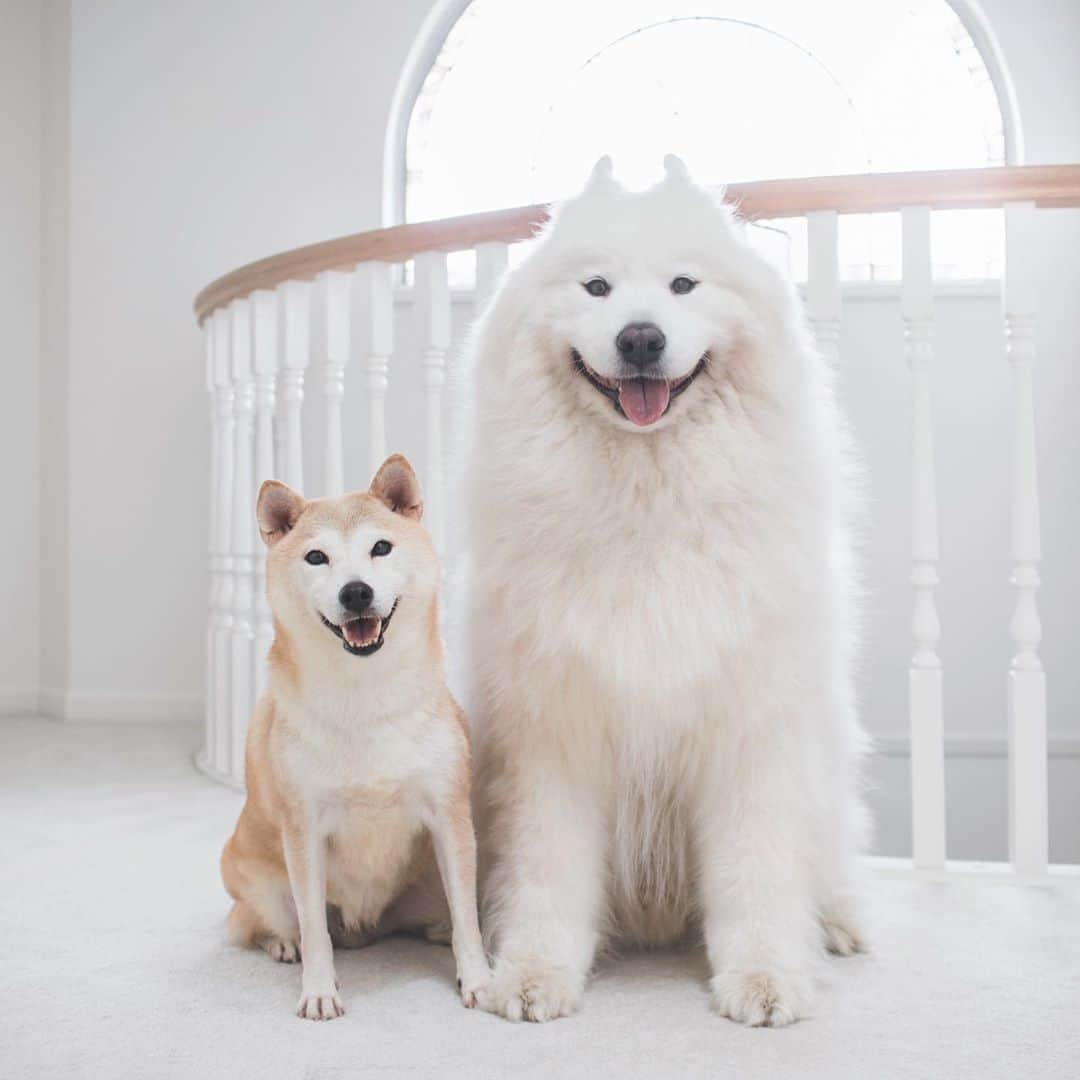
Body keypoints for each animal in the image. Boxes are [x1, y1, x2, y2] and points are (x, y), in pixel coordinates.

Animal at [221, 453, 492, 1019]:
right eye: (316, 557)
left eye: (380, 547)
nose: (356, 591)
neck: (365, 695)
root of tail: (365, 928)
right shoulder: (303, 830)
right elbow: (314, 932)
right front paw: (319, 990)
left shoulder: (449, 817)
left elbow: (468, 921)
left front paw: (477, 979)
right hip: (255, 875)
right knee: (272, 922)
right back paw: (283, 944)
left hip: (426, 880)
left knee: (438, 916)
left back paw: (433, 928)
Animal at [464, 156, 868, 1023]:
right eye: (596, 288)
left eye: (684, 285)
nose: (641, 337)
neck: (647, 497)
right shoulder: (556, 737)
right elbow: (548, 872)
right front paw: (534, 973)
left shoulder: (750, 731)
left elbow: (756, 872)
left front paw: (765, 977)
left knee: (828, 859)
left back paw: (839, 924)